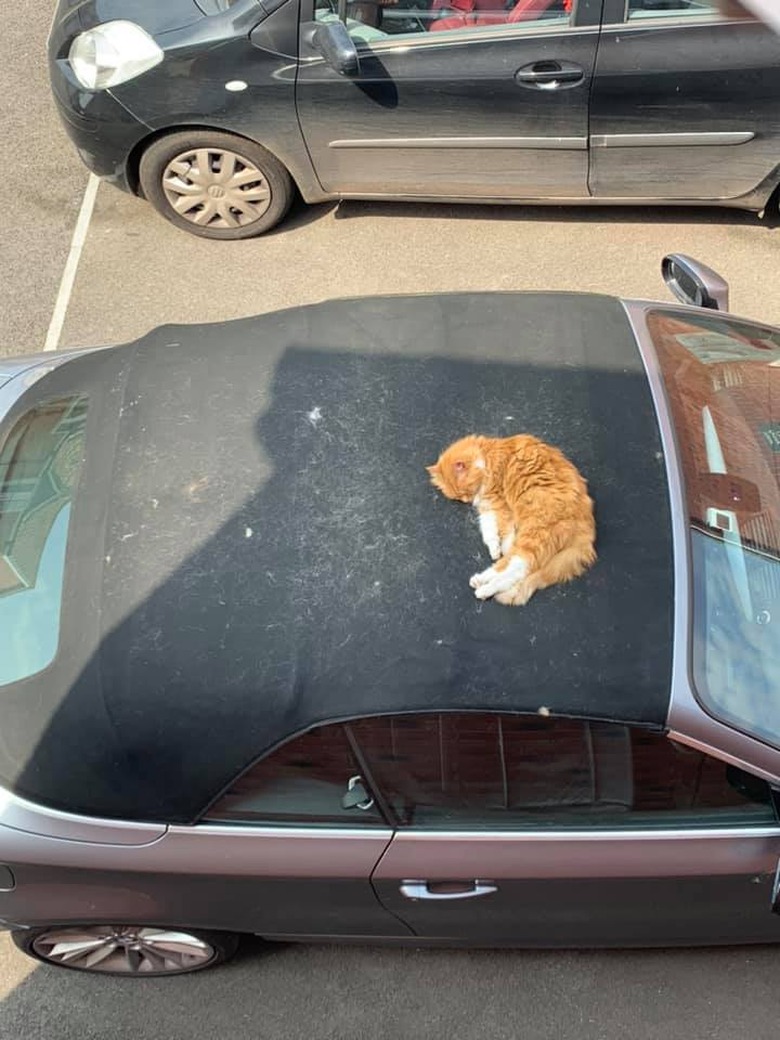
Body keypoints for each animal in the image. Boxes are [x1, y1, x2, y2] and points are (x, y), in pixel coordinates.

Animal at [428, 434, 599, 607]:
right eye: (458, 498)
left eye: (465, 493)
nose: (469, 501)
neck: (489, 455)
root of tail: (587, 532)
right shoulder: (489, 507)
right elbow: (489, 532)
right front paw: (495, 550)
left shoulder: (500, 505)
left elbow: (504, 532)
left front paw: (501, 548)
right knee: (512, 569)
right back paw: (481, 580)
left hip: (533, 538)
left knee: (514, 569)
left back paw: (484, 588)